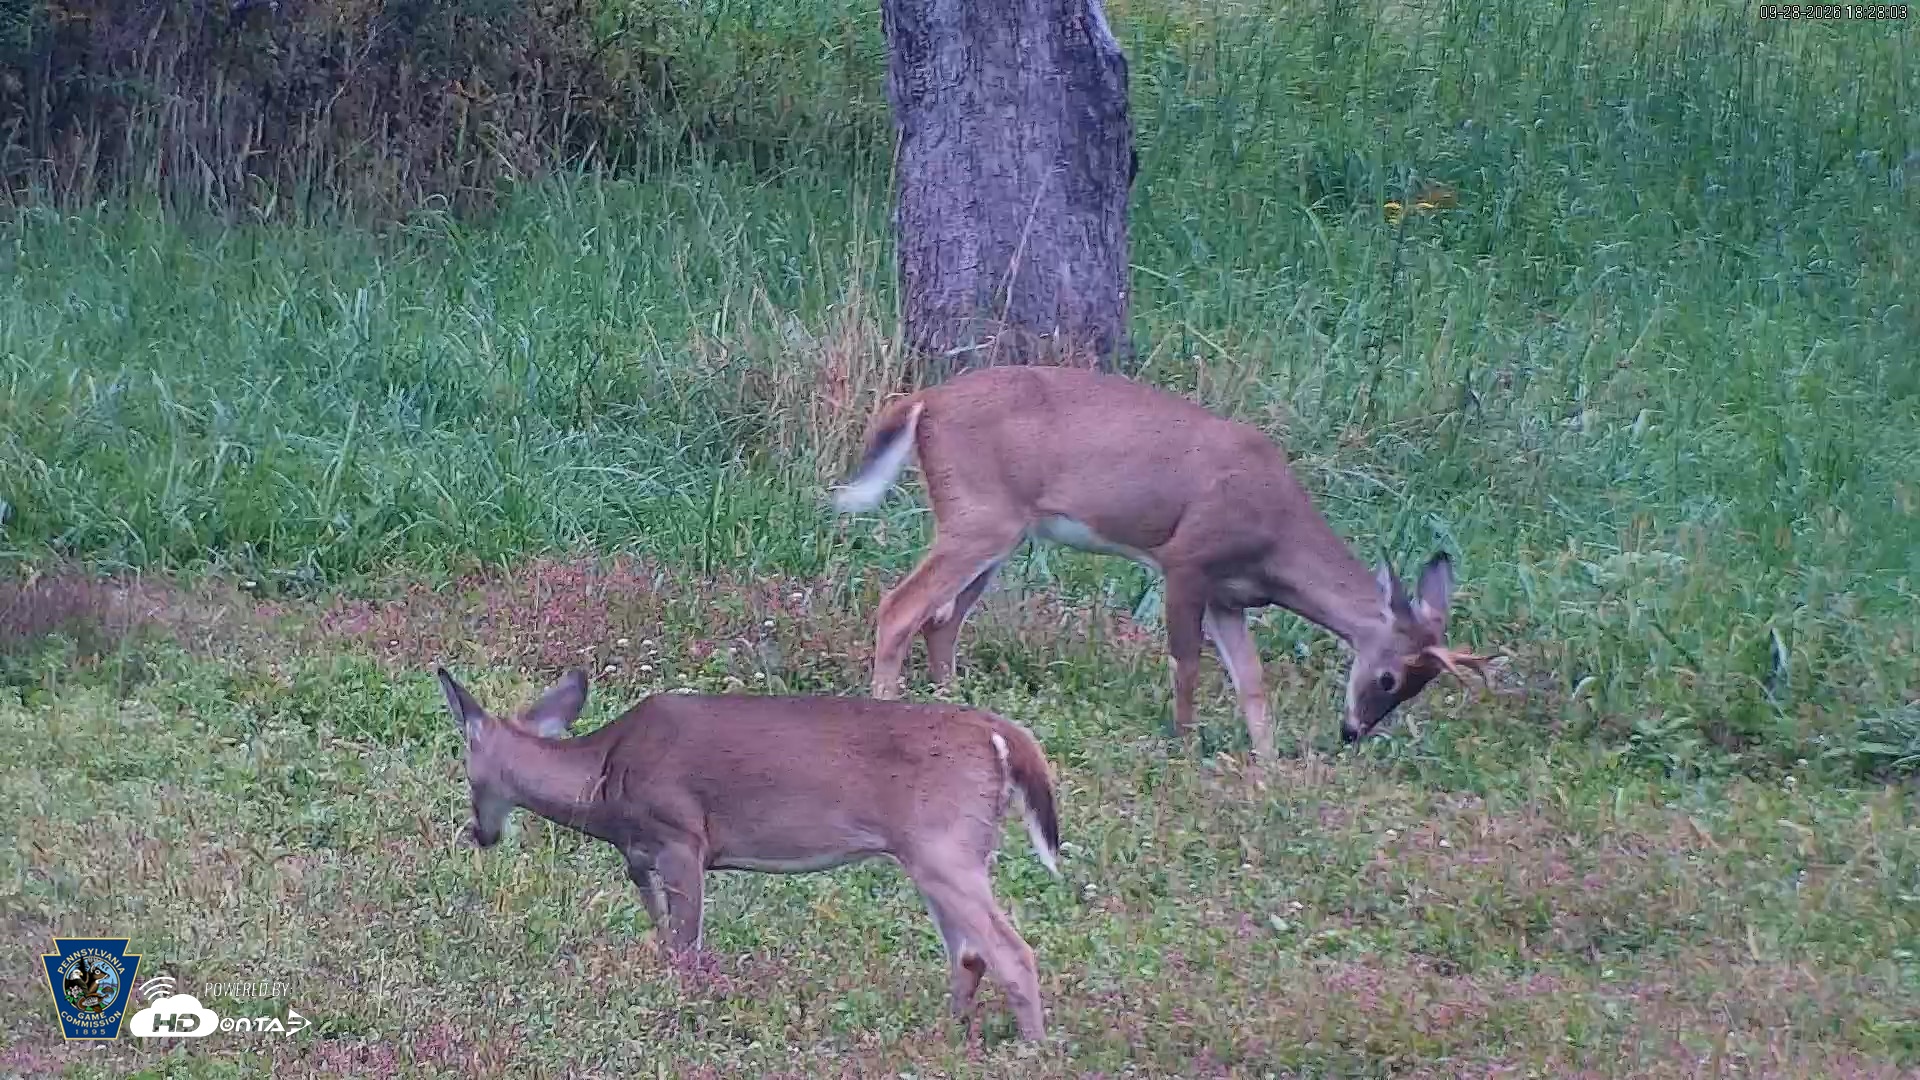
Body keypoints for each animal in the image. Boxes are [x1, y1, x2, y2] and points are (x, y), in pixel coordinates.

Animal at [433, 665, 1061, 1041]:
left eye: (468, 773)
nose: (478, 833)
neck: (605, 779)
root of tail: (1001, 736)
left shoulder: (683, 837)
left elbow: (685, 949)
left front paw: (681, 1015)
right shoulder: (641, 857)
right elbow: (663, 937)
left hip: (943, 844)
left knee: (1013, 952)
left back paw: (1031, 1050)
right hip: (938, 852)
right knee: (970, 953)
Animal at [830, 365, 1495, 764]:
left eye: (1417, 686)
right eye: (1389, 678)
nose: (1352, 733)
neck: (1275, 537)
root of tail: (924, 402)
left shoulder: (1229, 595)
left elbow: (1251, 680)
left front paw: (1268, 762)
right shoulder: (1186, 560)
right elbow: (1187, 663)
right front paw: (1184, 743)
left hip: (1001, 530)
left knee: (943, 618)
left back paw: (957, 703)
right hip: (979, 515)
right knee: (901, 607)